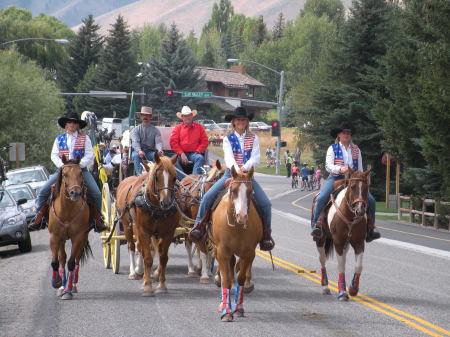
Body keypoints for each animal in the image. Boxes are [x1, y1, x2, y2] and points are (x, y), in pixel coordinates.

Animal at [48, 155, 92, 300]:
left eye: (80, 173)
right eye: (64, 174)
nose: (75, 193)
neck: (67, 210)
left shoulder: (78, 237)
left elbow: (72, 262)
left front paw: (68, 291)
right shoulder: (54, 237)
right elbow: (55, 262)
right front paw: (56, 283)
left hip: (83, 237)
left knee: (76, 259)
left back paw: (72, 285)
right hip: (62, 239)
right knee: (62, 258)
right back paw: (62, 285)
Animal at [115, 153, 180, 294]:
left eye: (174, 177)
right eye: (156, 177)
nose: (166, 202)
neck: (156, 208)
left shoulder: (168, 232)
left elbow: (163, 258)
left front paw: (161, 285)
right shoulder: (143, 230)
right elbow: (148, 258)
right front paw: (147, 285)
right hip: (127, 224)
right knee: (132, 246)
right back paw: (134, 272)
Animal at [211, 167, 264, 322]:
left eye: (250, 191)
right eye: (233, 190)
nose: (242, 216)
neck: (237, 227)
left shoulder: (248, 253)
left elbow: (240, 278)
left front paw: (239, 308)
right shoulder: (222, 252)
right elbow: (226, 281)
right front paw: (226, 312)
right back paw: (223, 303)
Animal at [312, 168, 372, 300]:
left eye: (366, 187)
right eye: (352, 186)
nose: (360, 210)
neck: (350, 217)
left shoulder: (359, 243)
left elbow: (358, 266)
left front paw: (353, 289)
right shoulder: (338, 242)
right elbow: (341, 266)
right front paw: (342, 292)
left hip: (346, 244)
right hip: (320, 239)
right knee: (322, 260)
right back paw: (325, 287)